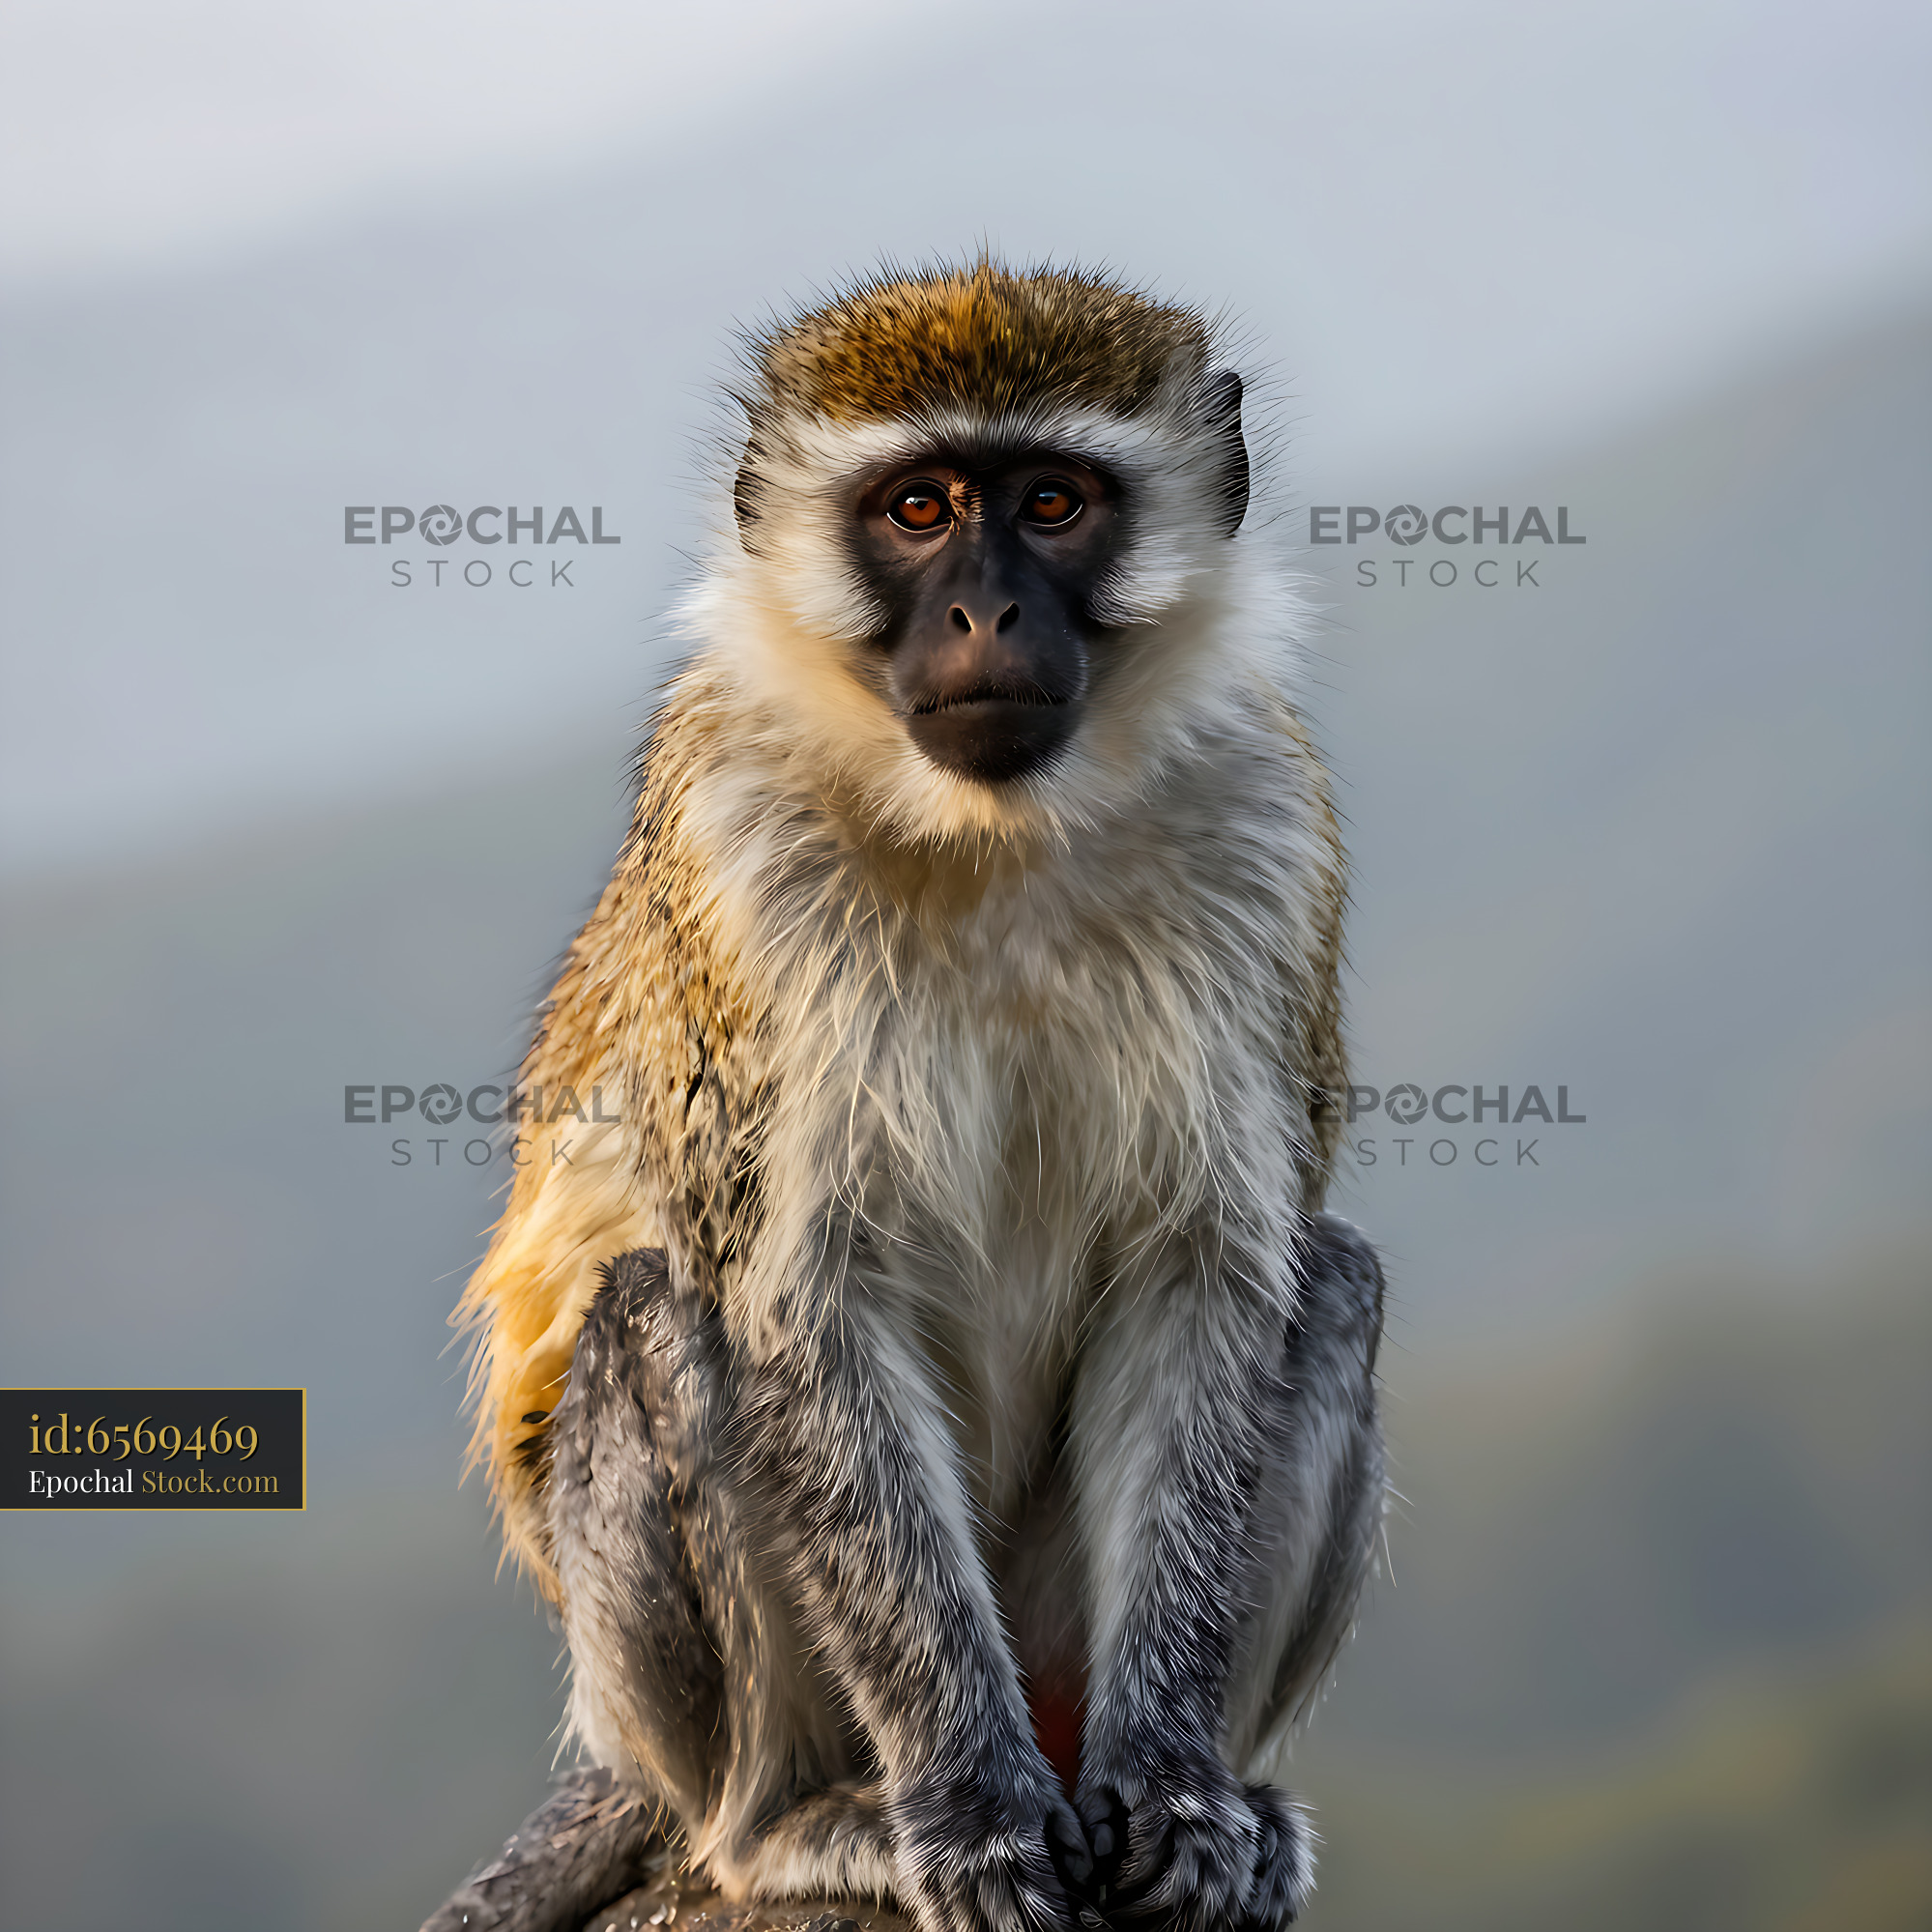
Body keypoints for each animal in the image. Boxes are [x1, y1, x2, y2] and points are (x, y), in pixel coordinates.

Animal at [424, 259, 1386, 1932]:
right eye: (920, 507)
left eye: (1052, 501)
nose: (981, 610)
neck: (993, 830)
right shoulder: (731, 838)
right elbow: (803, 1307)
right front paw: (976, 1811)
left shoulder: (1268, 820)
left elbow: (1203, 1273)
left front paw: (1179, 1787)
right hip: (700, 1701)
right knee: (658, 1316)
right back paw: (787, 1826)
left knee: (1326, 1280)